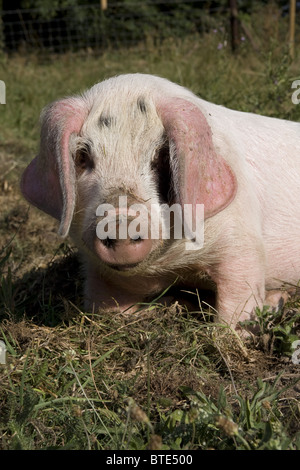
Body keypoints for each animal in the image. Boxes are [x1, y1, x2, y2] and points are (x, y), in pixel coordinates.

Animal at [19, 74, 300, 330]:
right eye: (82, 157)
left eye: (161, 157)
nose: (120, 222)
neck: (171, 268)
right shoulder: (98, 269)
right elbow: (105, 309)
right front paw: (176, 306)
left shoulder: (241, 238)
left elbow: (236, 302)